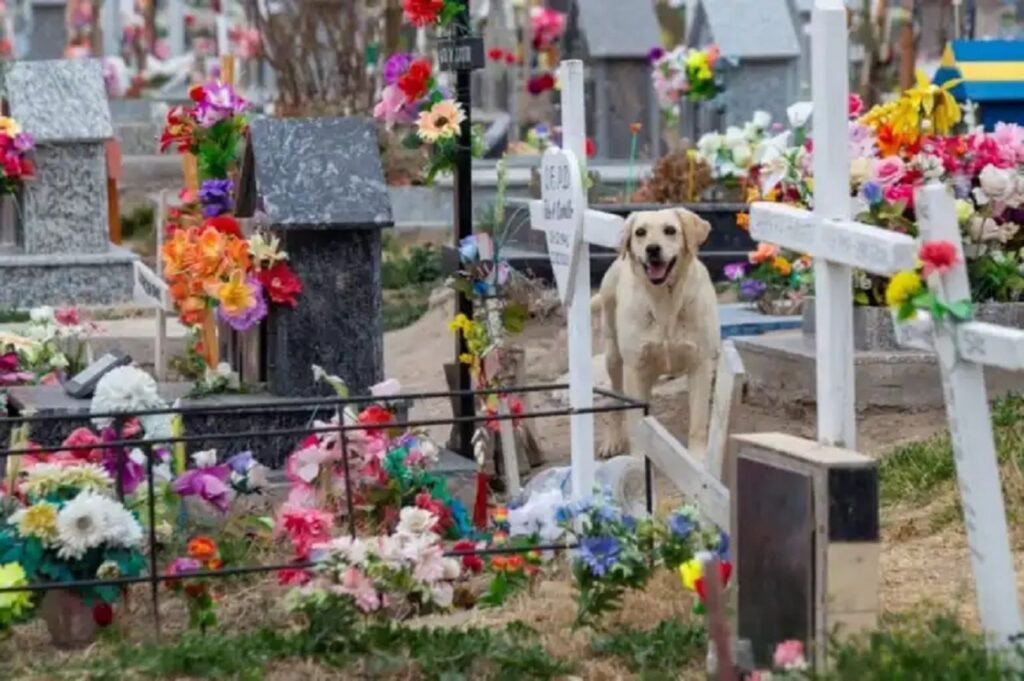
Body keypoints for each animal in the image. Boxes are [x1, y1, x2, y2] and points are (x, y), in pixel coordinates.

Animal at [593, 208, 720, 456]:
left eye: (670, 230)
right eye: (640, 232)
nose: (652, 249)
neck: (665, 302)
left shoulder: (700, 364)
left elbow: (698, 423)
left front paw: (697, 459)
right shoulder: (634, 368)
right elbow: (635, 422)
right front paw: (638, 458)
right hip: (614, 357)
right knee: (616, 401)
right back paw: (613, 439)